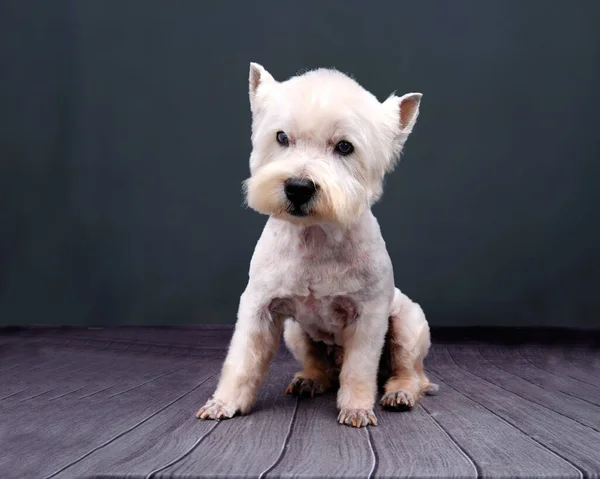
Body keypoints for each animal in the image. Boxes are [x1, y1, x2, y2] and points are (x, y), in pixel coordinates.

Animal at [197, 62, 436, 428]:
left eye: (345, 147)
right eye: (282, 137)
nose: (298, 187)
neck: (315, 237)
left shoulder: (368, 315)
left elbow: (359, 368)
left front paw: (356, 408)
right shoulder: (259, 306)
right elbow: (243, 359)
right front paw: (225, 402)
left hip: (409, 325)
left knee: (410, 372)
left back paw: (399, 393)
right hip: (294, 332)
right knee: (321, 366)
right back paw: (309, 380)